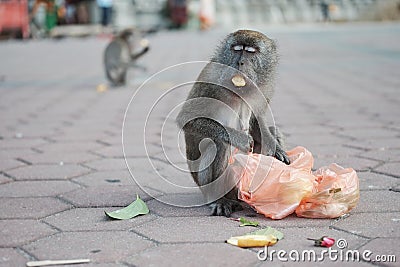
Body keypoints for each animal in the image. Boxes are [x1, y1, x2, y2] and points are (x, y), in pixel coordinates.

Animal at [177, 29, 290, 218]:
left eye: (251, 51)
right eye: (237, 49)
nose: (240, 62)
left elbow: (256, 119)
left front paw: (276, 148)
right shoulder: (210, 77)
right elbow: (187, 118)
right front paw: (239, 138)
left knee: (273, 130)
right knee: (218, 144)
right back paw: (219, 200)